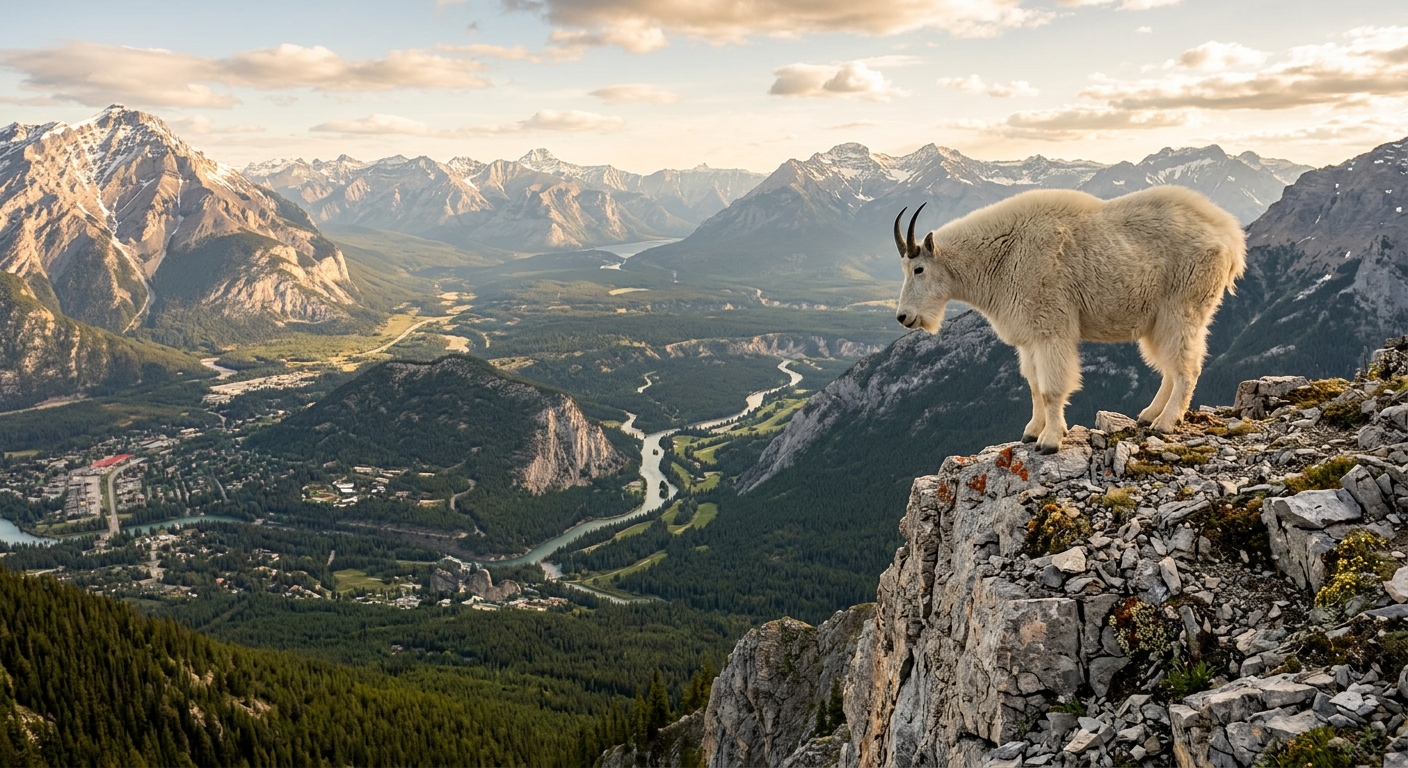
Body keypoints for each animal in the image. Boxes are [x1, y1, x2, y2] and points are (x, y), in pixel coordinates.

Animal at [893, 186, 1246, 454]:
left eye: (919, 269)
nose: (903, 317)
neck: (1002, 256)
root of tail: (1231, 237)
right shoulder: (1029, 337)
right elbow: (1034, 386)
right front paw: (1032, 432)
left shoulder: (1051, 329)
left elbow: (1051, 388)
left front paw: (1050, 441)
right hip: (1158, 321)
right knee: (1171, 367)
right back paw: (1149, 415)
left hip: (1183, 308)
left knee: (1187, 367)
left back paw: (1167, 422)